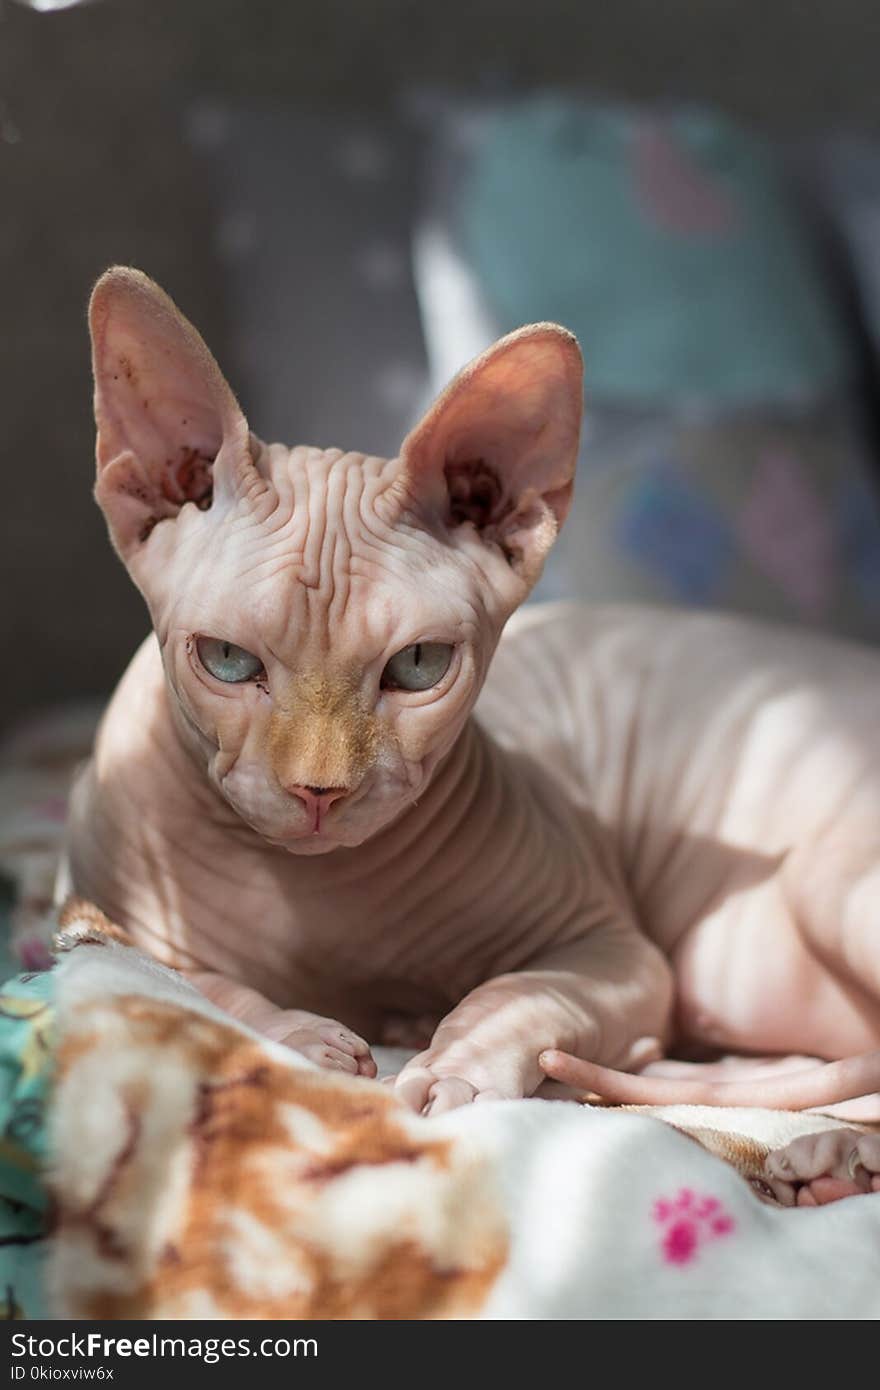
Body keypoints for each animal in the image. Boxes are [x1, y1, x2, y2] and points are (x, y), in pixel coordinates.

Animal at [67, 268, 878, 1206]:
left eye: (418, 665)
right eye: (228, 661)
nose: (319, 790)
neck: (316, 900)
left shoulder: (614, 948)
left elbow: (519, 991)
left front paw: (455, 1066)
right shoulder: (111, 920)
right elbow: (200, 987)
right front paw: (305, 1038)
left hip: (830, 880)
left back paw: (831, 1156)